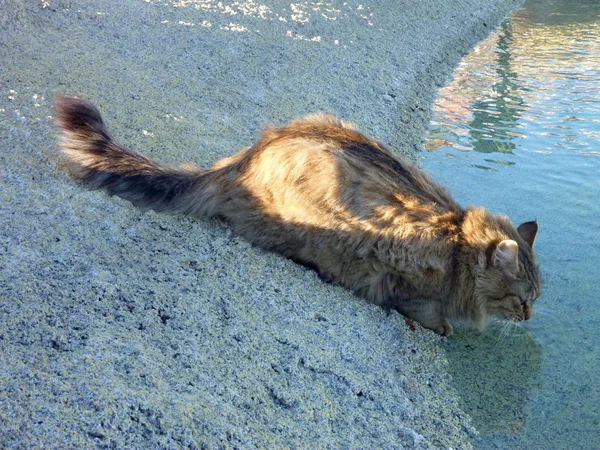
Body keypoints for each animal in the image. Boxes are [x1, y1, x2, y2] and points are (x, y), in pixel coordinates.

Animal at [56, 96, 540, 336]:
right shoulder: (403, 272)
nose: (530, 318)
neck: (458, 243)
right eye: (522, 300)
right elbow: (427, 313)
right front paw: (446, 326)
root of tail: (241, 160)